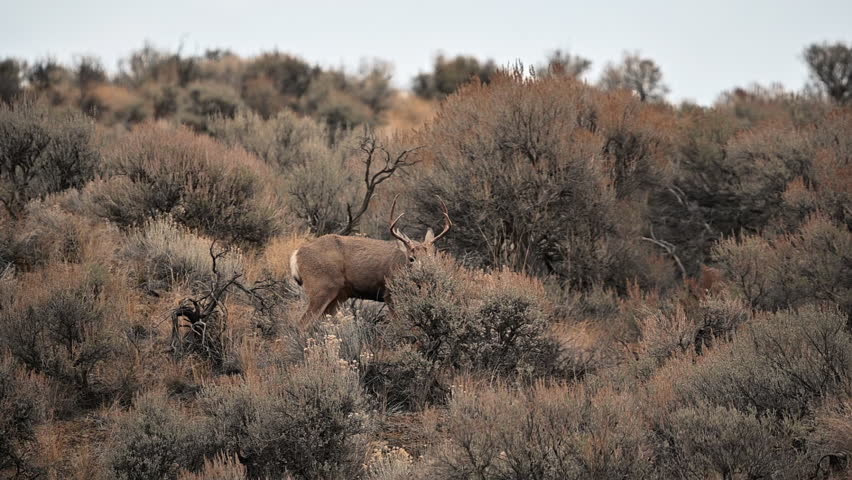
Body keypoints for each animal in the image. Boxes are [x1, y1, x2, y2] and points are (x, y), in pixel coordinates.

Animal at [290, 196, 452, 324]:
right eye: (411, 258)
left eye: (430, 258)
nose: (422, 274)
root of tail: (297, 253)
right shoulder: (389, 294)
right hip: (321, 287)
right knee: (302, 324)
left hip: (338, 295)